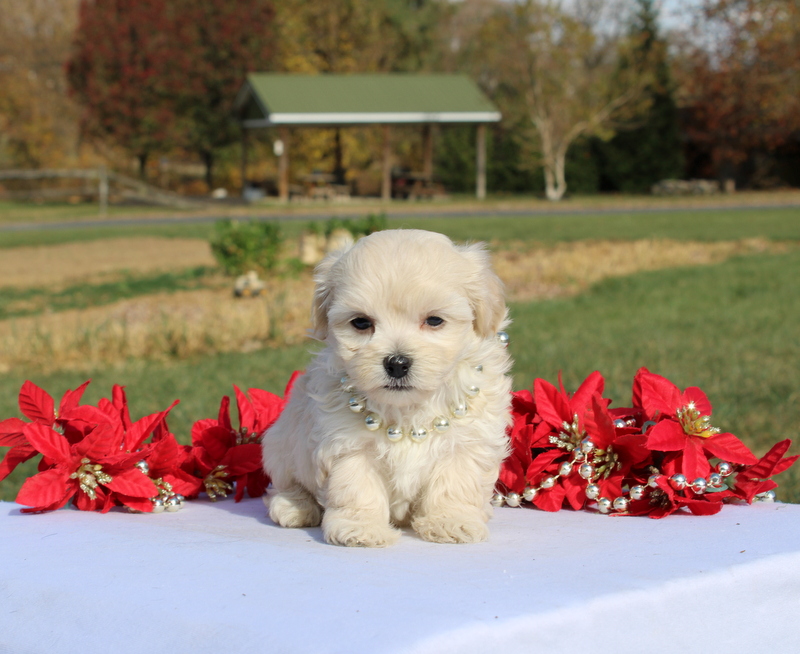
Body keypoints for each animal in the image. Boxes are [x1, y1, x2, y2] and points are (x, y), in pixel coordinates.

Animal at [262, 231, 512, 548]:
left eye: (434, 320)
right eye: (361, 322)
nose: (397, 363)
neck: (407, 409)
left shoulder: (468, 442)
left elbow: (455, 483)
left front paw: (451, 521)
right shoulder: (348, 445)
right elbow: (357, 486)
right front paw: (360, 528)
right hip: (280, 446)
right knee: (284, 484)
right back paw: (294, 506)